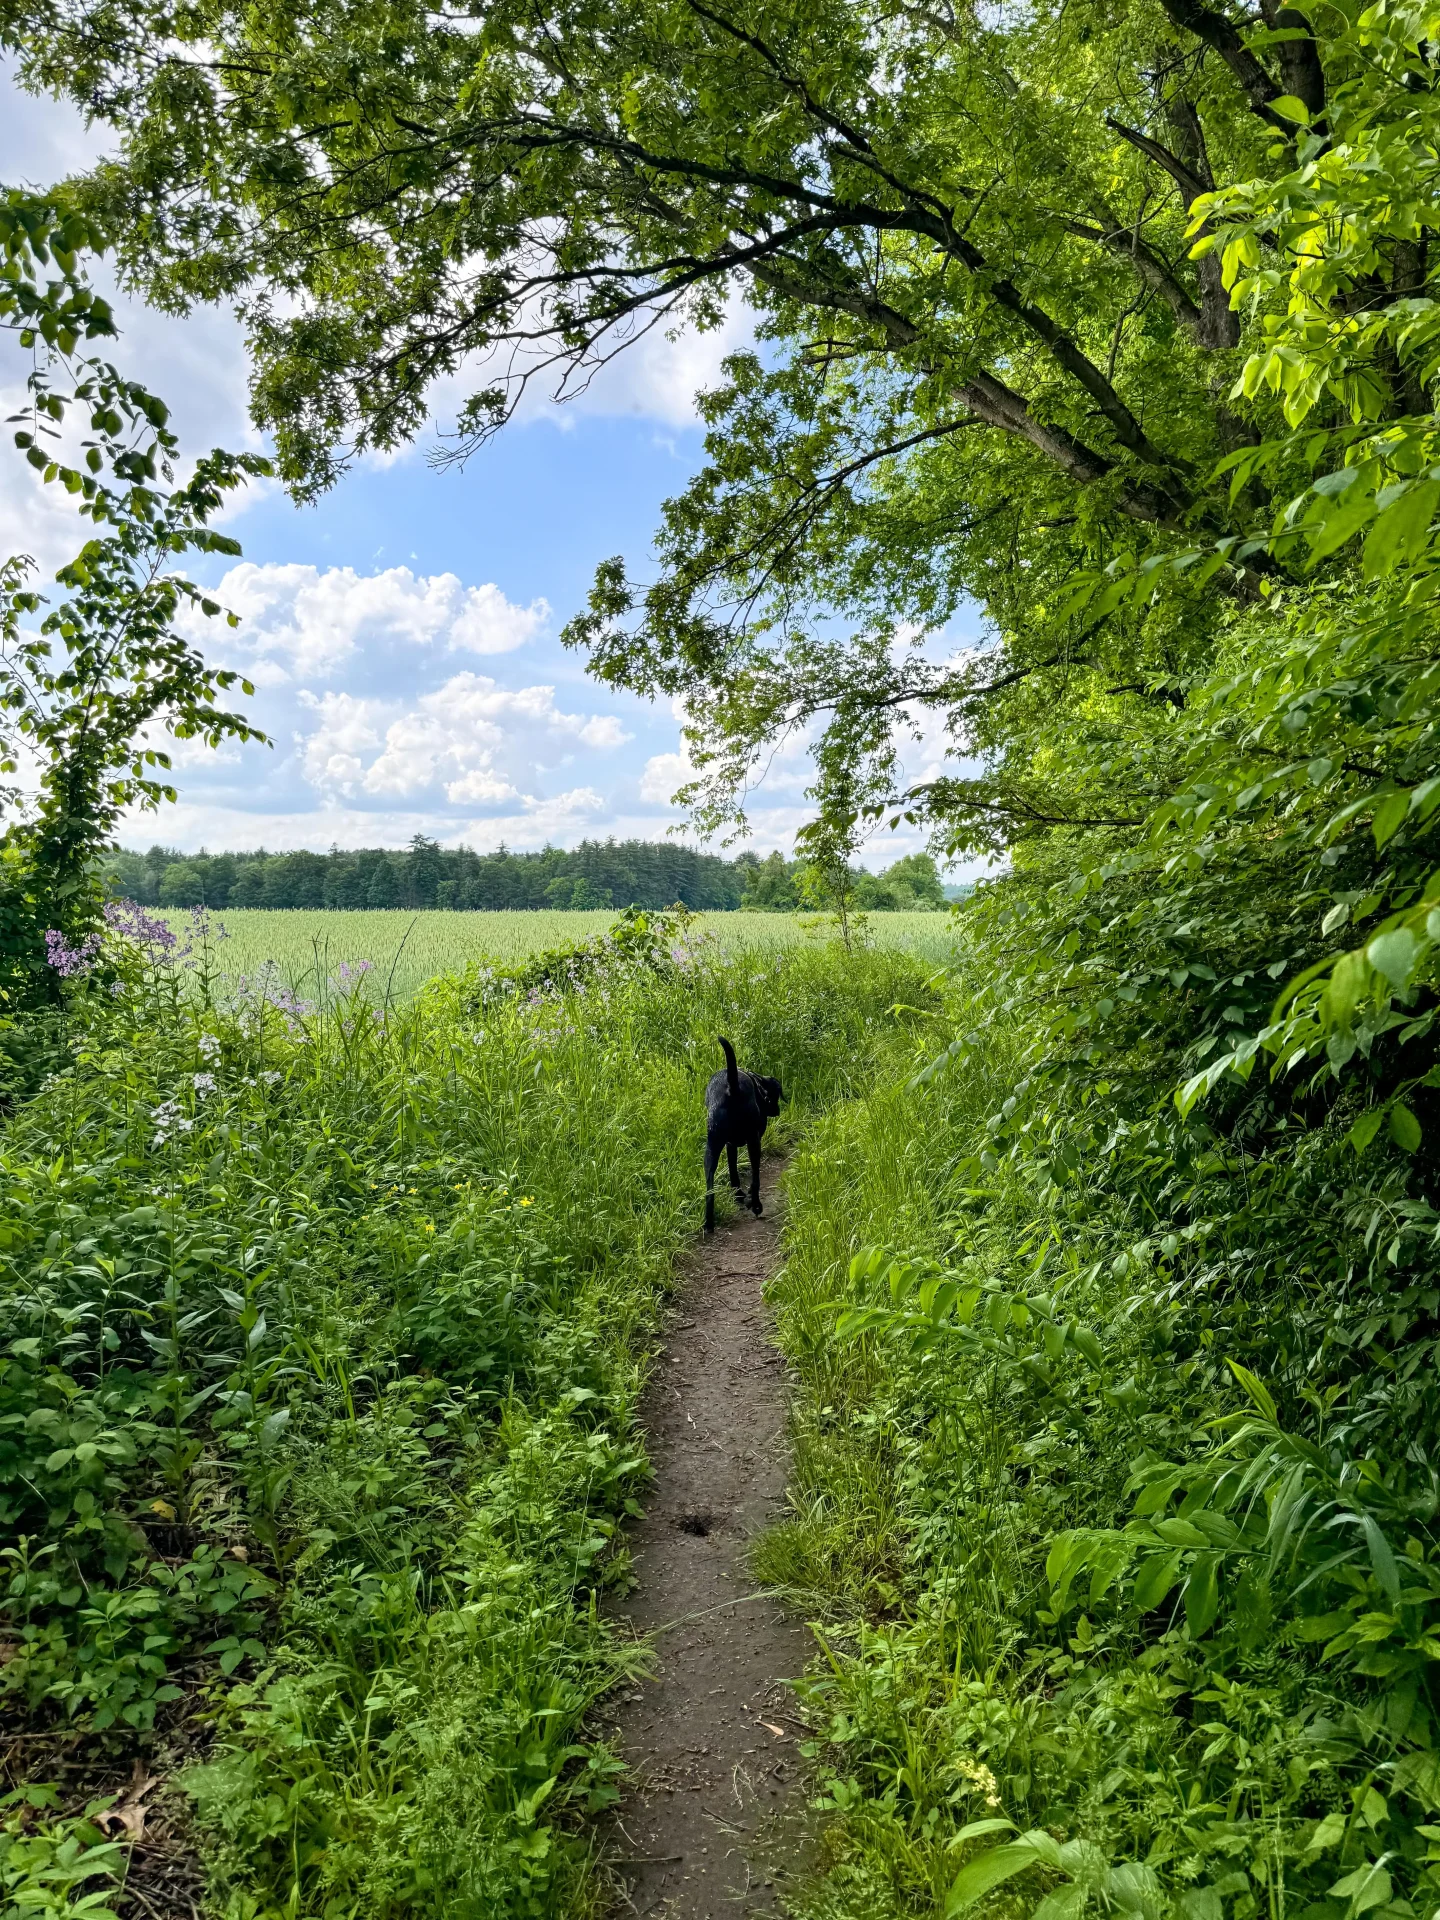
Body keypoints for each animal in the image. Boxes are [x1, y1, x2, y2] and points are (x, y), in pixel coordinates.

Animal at [706, 1044, 783, 1236]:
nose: (777, 1111)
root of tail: (731, 1087)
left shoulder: (730, 1145)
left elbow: (733, 1171)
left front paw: (738, 1195)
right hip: (754, 1142)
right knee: (756, 1177)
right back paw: (755, 1204)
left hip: (712, 1147)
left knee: (709, 1188)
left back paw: (709, 1223)